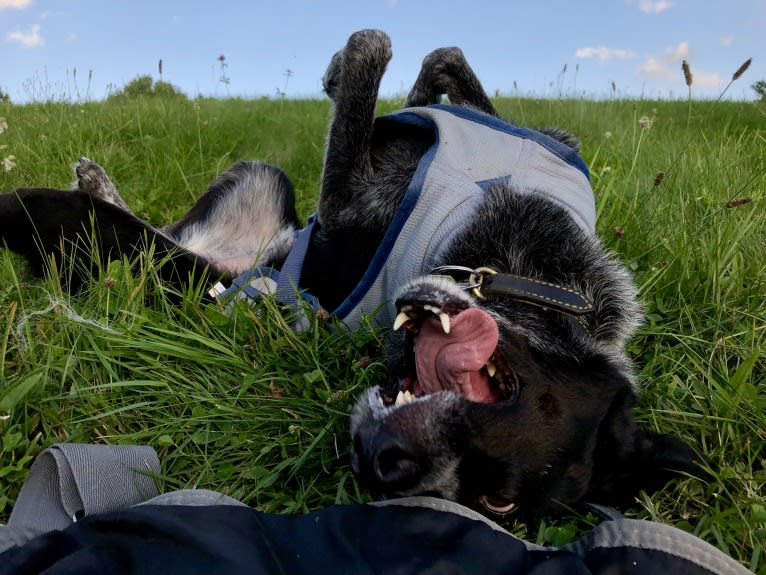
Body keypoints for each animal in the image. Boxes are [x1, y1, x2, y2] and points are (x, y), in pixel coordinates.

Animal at [0, 30, 708, 520]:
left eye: (495, 502)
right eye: (508, 391)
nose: (380, 466)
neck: (532, 268)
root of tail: (235, 276)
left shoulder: (344, 205)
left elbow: (373, 51)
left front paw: (349, 67)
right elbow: (444, 74)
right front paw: (400, 82)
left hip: (147, 247)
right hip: (260, 178)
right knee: (172, 221)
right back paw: (99, 180)